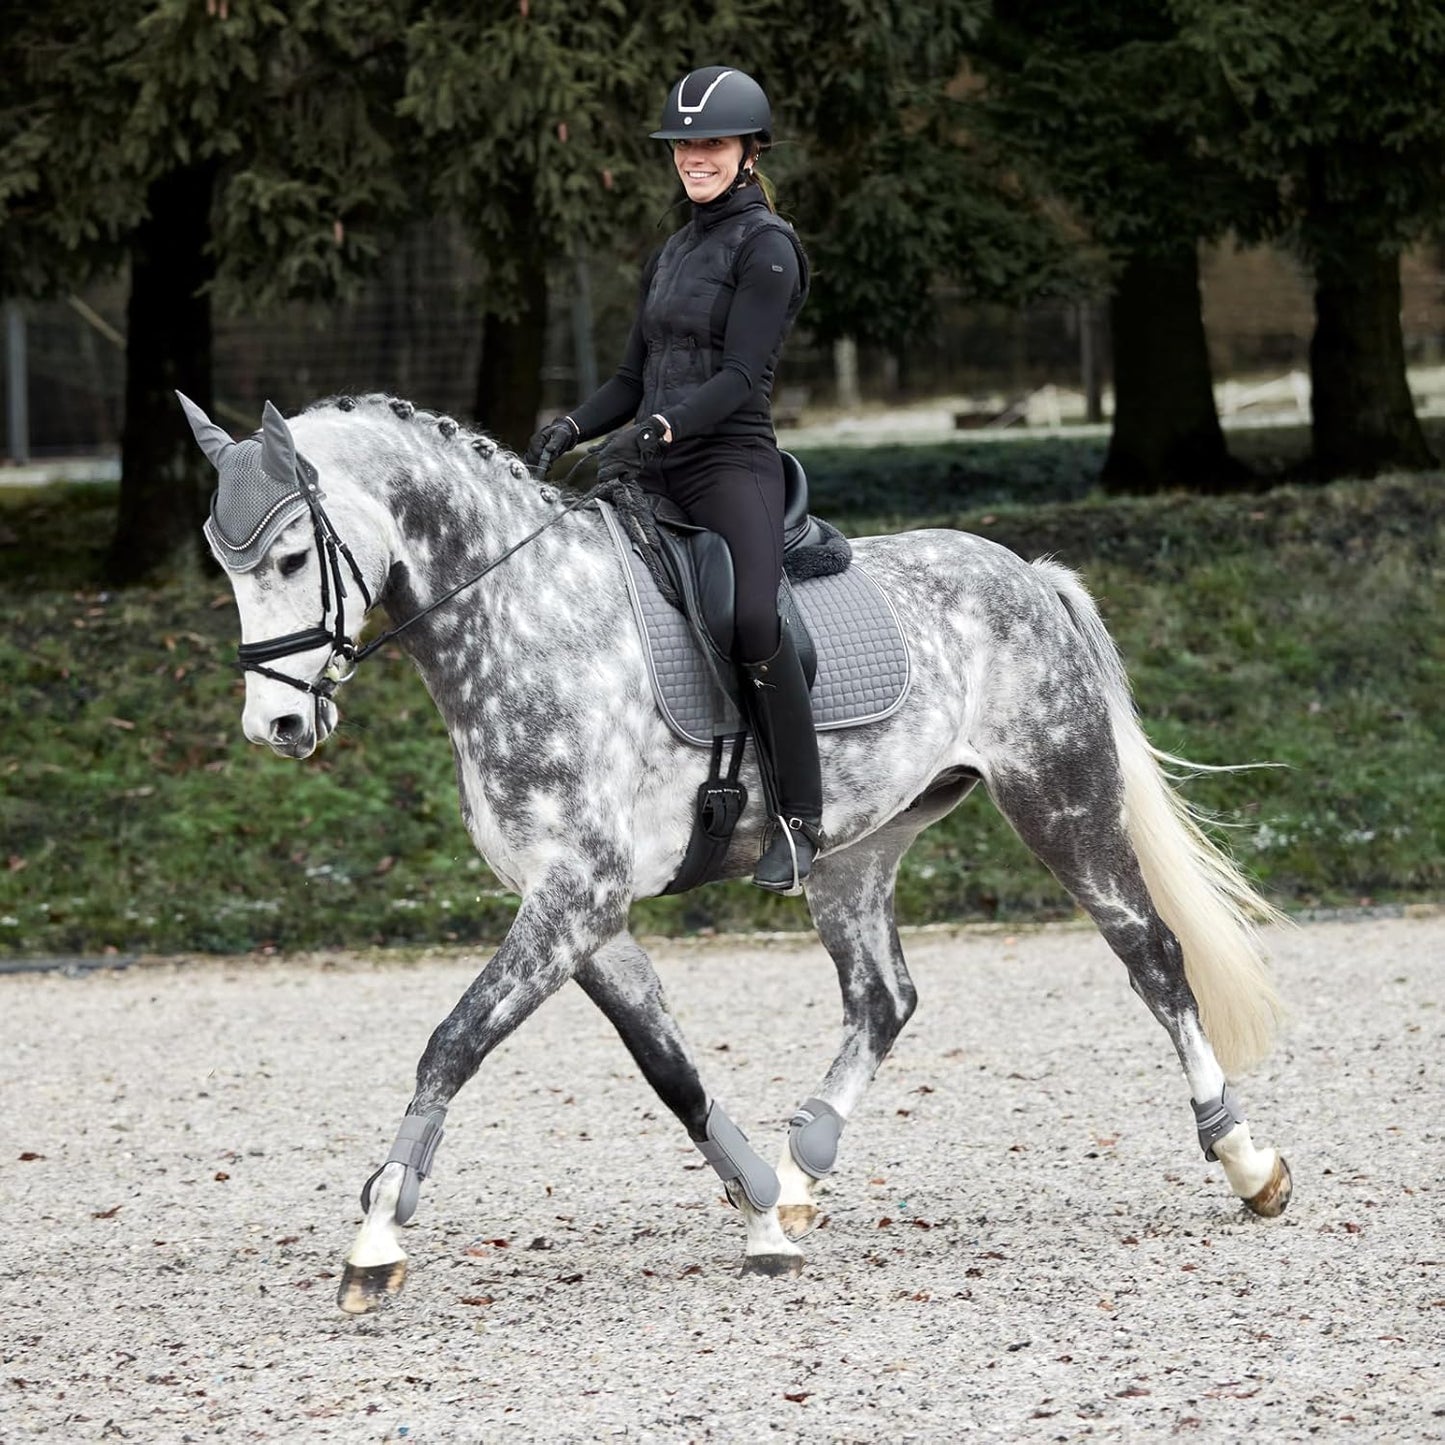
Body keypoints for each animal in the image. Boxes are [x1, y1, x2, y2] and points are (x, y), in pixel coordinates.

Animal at [180, 392, 1292, 1316]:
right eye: (224, 563)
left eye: (289, 558)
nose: (277, 726)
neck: (525, 622)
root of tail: (1024, 571)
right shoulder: (580, 911)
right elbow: (668, 1067)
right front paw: (760, 1208)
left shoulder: (575, 898)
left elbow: (451, 1042)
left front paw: (374, 1236)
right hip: (854, 850)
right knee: (882, 998)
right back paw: (803, 1170)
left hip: (1059, 800)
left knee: (1151, 954)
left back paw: (1244, 1158)